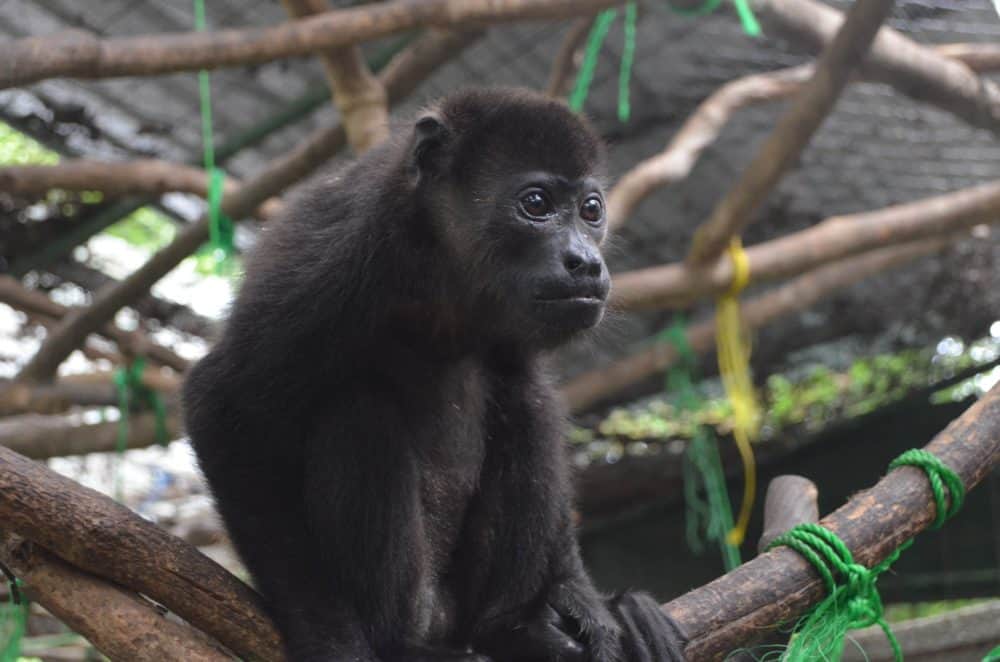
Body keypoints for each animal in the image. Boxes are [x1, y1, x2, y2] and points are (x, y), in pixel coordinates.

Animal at [182, 88, 685, 661]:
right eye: (535, 204)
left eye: (592, 210)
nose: (585, 260)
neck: (441, 272)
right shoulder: (333, 257)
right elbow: (220, 404)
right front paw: (330, 637)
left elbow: (529, 386)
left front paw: (581, 596)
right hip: (421, 602)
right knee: (360, 413)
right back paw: (403, 643)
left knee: (525, 403)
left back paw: (514, 628)